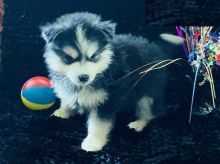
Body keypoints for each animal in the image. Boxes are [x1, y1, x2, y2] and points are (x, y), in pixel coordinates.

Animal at [40, 12, 174, 152]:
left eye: (93, 57)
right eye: (68, 58)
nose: (84, 77)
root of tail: (156, 49)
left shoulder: (106, 100)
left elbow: (98, 124)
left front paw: (93, 142)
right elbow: (68, 99)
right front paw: (62, 112)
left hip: (148, 92)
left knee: (149, 111)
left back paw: (138, 124)